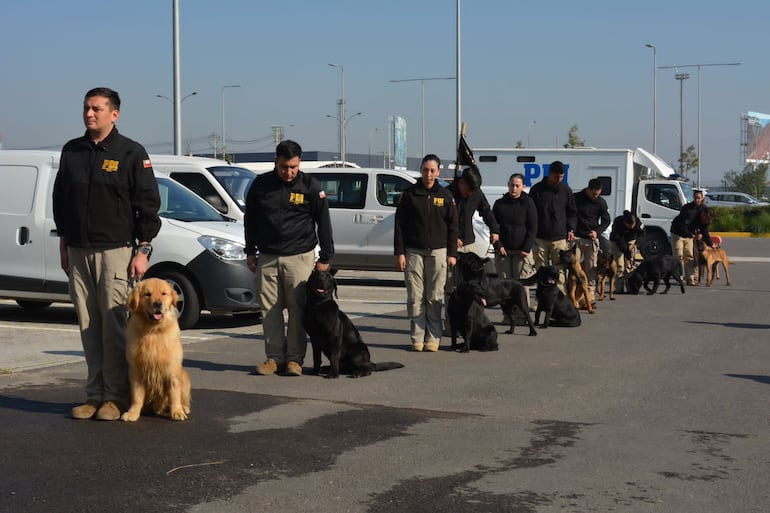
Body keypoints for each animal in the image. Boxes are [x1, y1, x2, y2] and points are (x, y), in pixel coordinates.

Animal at [122, 278, 191, 422]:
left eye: (164, 293)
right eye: (147, 294)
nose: (158, 304)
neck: (153, 331)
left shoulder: (172, 369)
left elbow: (174, 393)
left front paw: (177, 412)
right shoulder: (135, 370)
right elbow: (137, 396)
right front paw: (132, 413)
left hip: (184, 375)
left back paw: (184, 408)